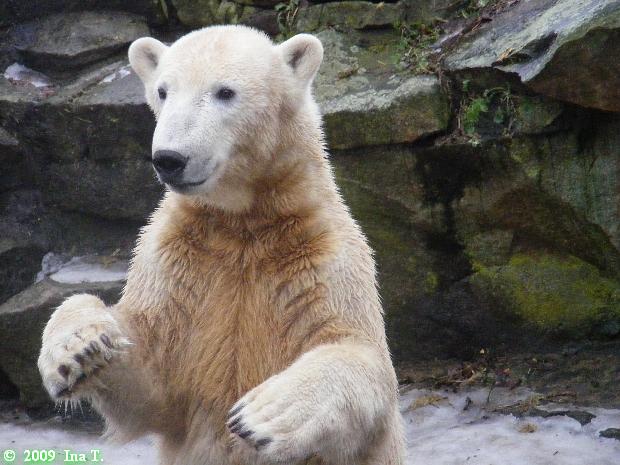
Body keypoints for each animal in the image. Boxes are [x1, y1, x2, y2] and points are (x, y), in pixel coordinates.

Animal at [38, 25, 406, 465]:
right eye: (163, 91)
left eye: (225, 92)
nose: (170, 158)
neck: (243, 225)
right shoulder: (181, 258)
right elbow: (152, 374)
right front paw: (79, 349)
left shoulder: (320, 255)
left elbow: (359, 355)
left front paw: (262, 414)